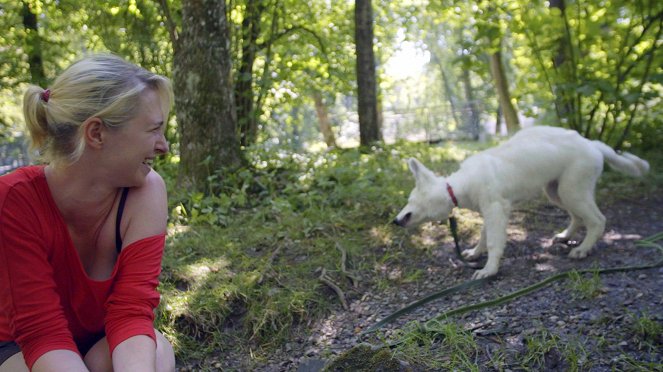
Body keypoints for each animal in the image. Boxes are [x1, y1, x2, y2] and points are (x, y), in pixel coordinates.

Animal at [394, 126, 648, 278]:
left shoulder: (496, 210)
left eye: (411, 200)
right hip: (556, 191)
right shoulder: (490, 212)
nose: (395, 221)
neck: (460, 185)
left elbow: (494, 242)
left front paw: (489, 269)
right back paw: (566, 236)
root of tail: (593, 144)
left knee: (597, 220)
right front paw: (475, 253)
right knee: (578, 216)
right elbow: (484, 237)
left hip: (572, 190)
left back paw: (583, 249)